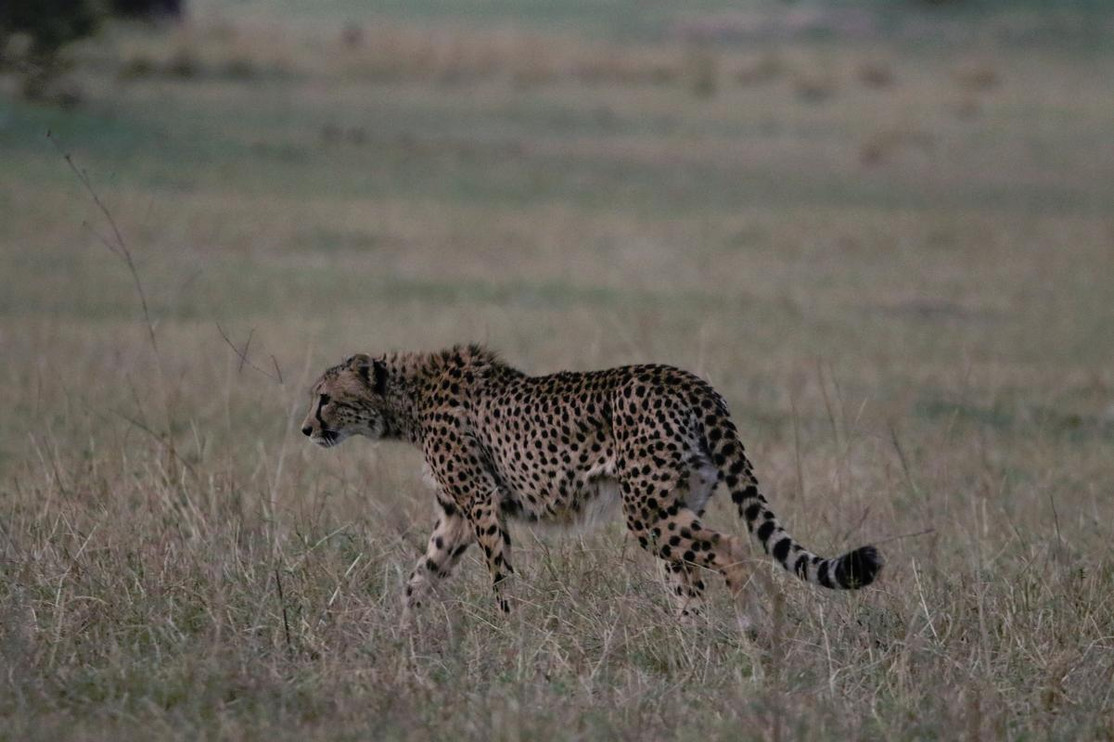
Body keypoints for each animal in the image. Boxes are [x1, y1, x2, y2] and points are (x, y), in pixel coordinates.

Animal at [300, 345, 882, 626]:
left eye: (325, 398)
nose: (306, 429)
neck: (408, 399)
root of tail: (693, 382)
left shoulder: (482, 504)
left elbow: (499, 576)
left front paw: (509, 633)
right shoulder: (456, 515)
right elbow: (421, 576)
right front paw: (401, 635)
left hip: (647, 512)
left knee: (731, 548)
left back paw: (749, 626)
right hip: (672, 506)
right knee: (689, 580)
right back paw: (690, 647)